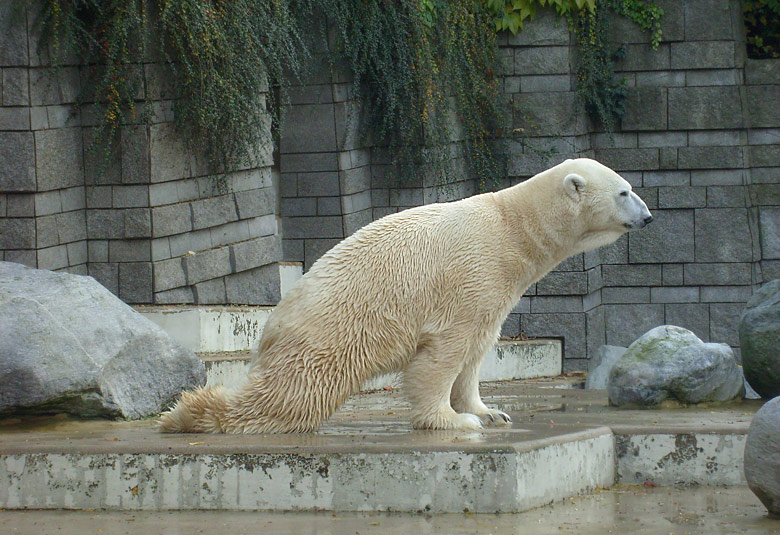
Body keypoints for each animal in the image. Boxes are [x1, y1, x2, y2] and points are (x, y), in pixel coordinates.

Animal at [158, 157, 652, 434]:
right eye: (625, 190)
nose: (648, 216)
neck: (512, 228)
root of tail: (270, 327)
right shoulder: (472, 274)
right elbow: (444, 353)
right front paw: (451, 420)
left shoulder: (496, 289)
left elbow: (476, 353)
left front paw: (490, 412)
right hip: (327, 336)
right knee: (293, 396)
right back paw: (187, 415)